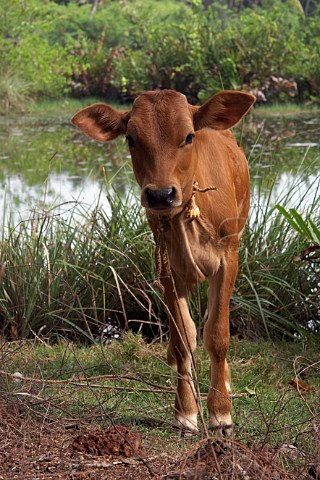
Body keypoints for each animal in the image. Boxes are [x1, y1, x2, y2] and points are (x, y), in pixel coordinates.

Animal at [72, 90, 255, 436]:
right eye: (130, 138)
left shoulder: (228, 260)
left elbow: (218, 336)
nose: (159, 194)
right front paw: (186, 412)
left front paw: (221, 413)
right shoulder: (166, 269)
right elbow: (184, 338)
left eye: (189, 136)